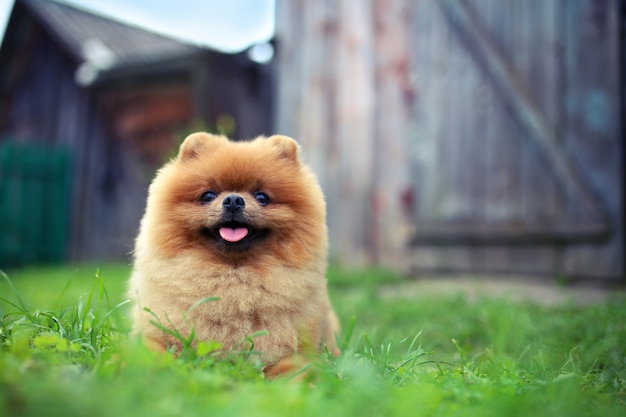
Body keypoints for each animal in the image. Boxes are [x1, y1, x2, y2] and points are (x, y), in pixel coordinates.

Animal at [127, 132, 338, 374]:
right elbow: (149, 353)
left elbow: (295, 370)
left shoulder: (293, 350)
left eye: (262, 197)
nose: (234, 200)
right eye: (208, 195)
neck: (232, 278)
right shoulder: (158, 334)